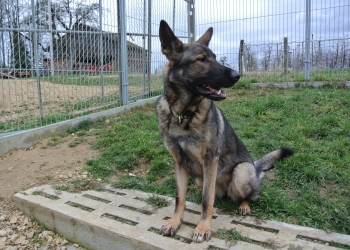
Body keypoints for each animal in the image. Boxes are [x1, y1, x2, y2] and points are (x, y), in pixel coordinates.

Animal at [157, 19, 292, 242]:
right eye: (201, 60)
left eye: (214, 57)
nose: (237, 75)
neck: (184, 114)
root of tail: (255, 168)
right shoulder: (179, 163)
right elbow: (179, 198)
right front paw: (175, 222)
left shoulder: (210, 160)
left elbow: (206, 200)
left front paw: (203, 228)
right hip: (200, 178)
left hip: (242, 171)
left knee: (245, 196)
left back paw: (244, 206)